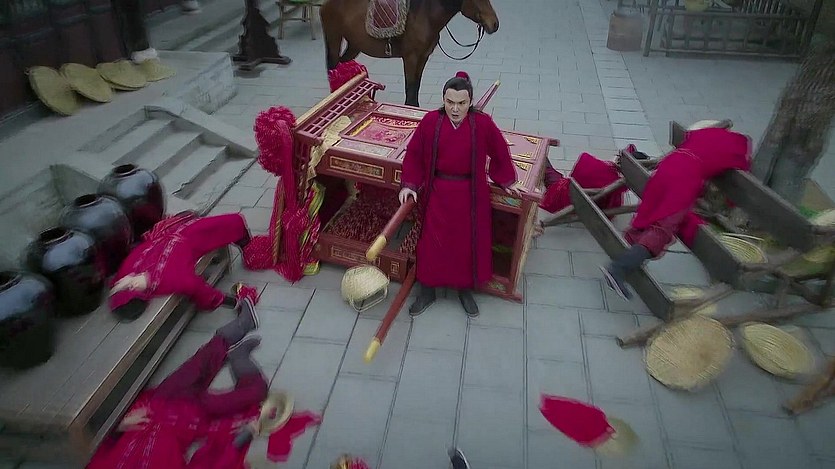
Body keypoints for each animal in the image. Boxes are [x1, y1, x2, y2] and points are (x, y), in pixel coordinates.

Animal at [320, 0, 500, 107]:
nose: (495, 24)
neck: (424, 16)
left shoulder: (423, 57)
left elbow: (416, 85)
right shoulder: (410, 58)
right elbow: (410, 86)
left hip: (354, 45)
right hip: (334, 40)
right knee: (333, 69)